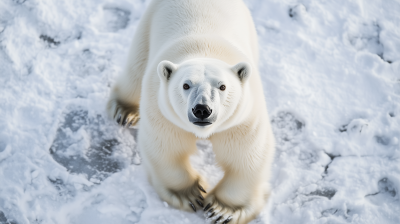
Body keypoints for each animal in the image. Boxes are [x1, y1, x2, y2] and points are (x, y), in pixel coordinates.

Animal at [106, 0, 276, 223]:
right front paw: (190, 194)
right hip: (147, 25)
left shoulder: (242, 119)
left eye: (222, 86)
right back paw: (125, 111)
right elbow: (166, 148)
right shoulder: (162, 111)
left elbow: (245, 156)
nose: (202, 110)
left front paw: (222, 210)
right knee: (136, 68)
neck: (205, 49)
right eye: (185, 85)